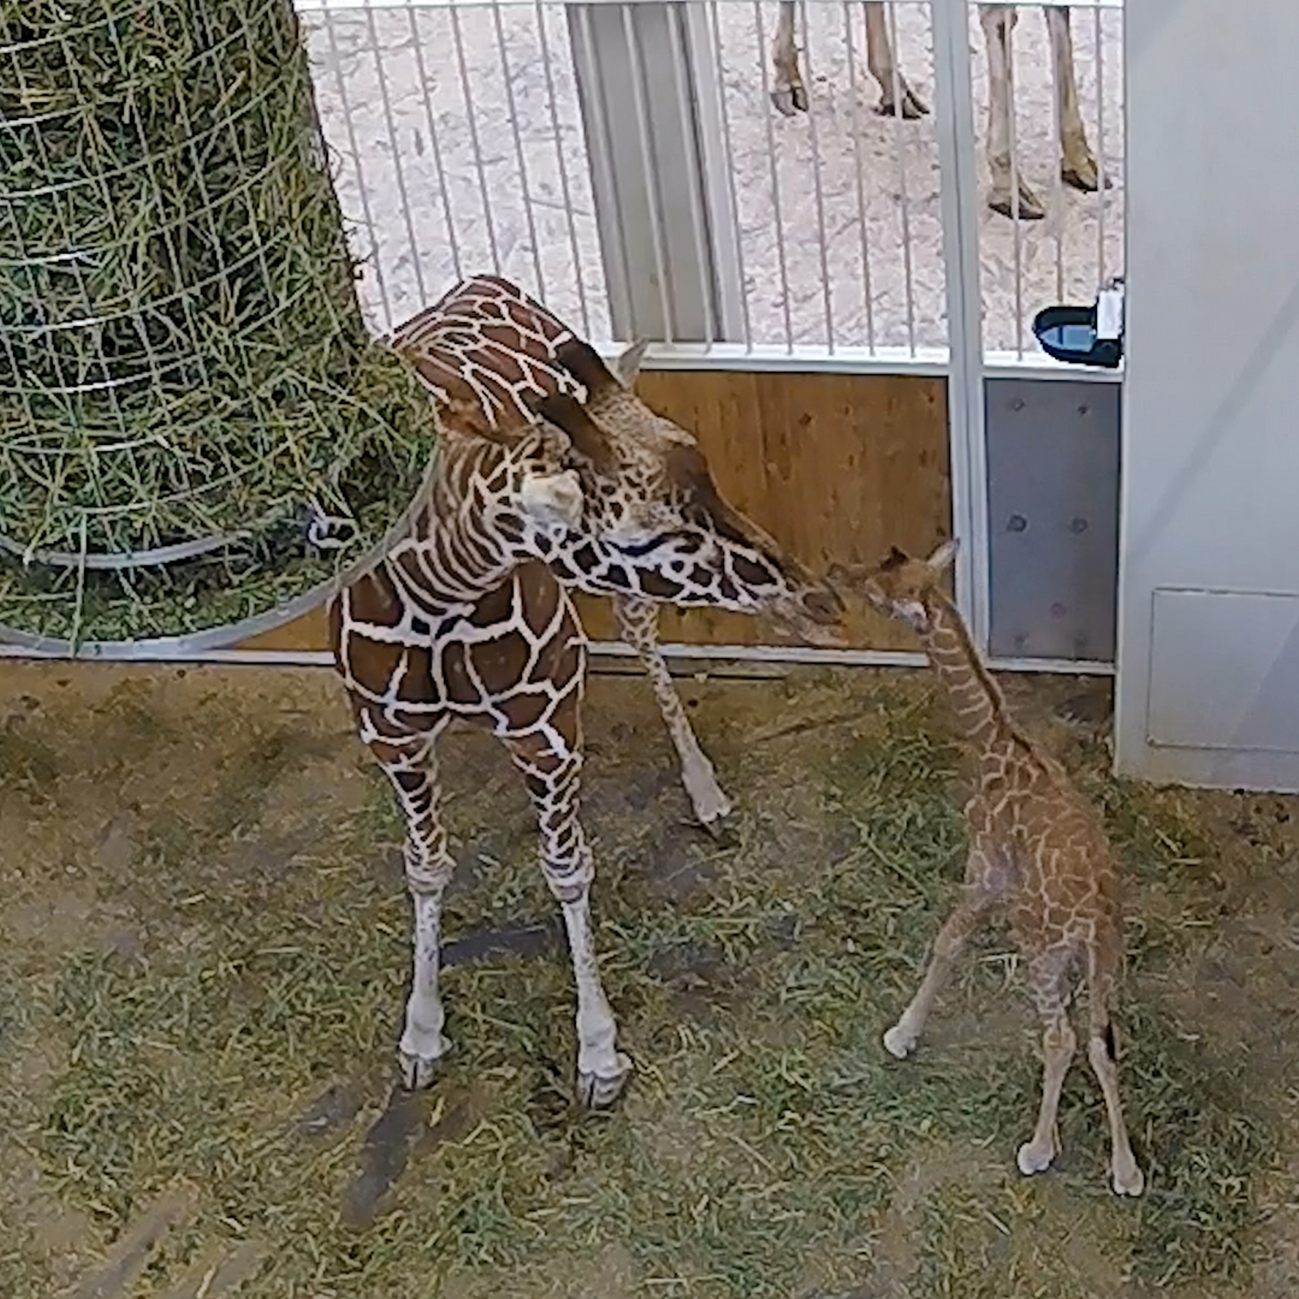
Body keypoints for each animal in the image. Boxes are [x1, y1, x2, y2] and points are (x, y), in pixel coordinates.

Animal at [331, 275, 845, 1106]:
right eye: (640, 533)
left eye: (705, 465)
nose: (818, 602)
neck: (438, 587)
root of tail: (482, 281)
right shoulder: (393, 736)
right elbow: (425, 866)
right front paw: (420, 1035)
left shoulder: (544, 725)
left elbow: (568, 870)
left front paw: (598, 1055)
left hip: (609, 622)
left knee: (642, 633)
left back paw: (706, 793)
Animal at [770, 2, 1105, 221]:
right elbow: (1000, 20)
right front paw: (1010, 188)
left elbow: (1059, 14)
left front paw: (1082, 162)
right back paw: (788, 82)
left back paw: (895, 91)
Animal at [830, 541, 1144, 1195]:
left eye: (879, 591)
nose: (839, 573)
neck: (996, 743)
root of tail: (1093, 919)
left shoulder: (986, 869)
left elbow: (946, 942)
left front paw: (901, 1035)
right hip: (1104, 962)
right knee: (1101, 1041)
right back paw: (1126, 1170)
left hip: (1042, 951)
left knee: (1060, 1036)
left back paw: (1038, 1149)